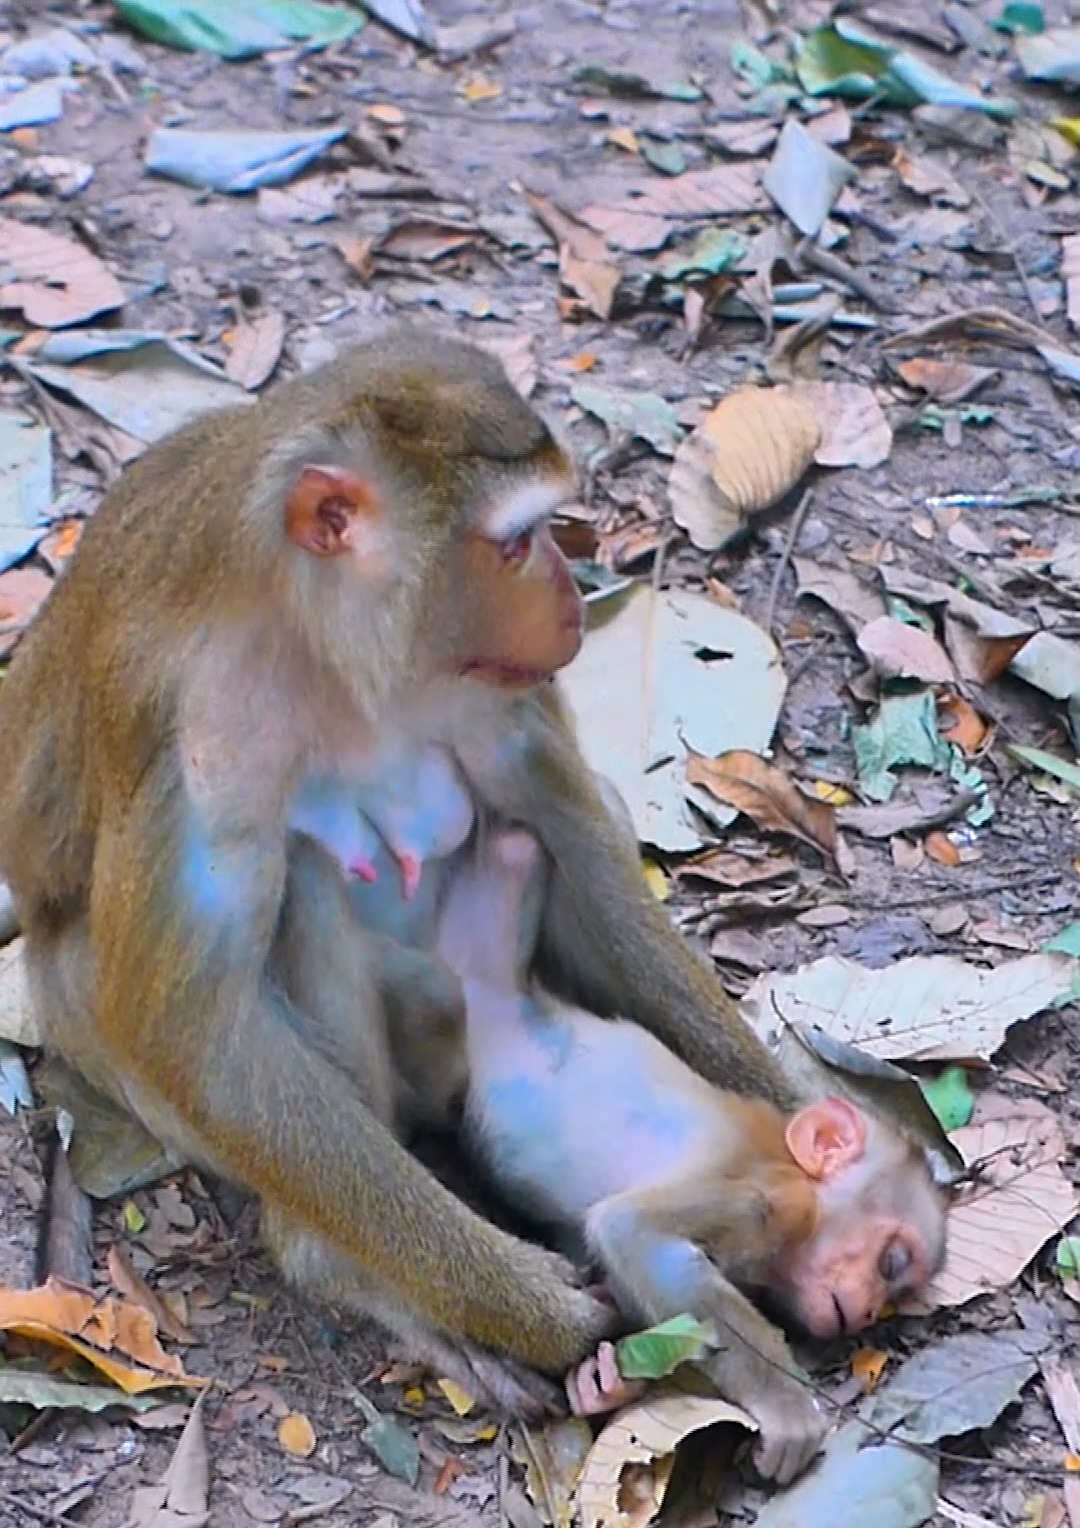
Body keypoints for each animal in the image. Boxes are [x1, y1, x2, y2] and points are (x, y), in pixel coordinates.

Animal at [0, 326, 856, 1425]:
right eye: (517, 540)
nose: (570, 598)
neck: (318, 638)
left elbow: (567, 821)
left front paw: (802, 1132)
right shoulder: (192, 727)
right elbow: (194, 1034)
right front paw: (531, 1308)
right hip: (75, 1013)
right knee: (293, 895)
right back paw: (355, 1270)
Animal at [428, 825, 948, 1484]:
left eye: (892, 1299)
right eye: (892, 1264)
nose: (865, 1314)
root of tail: (503, 992)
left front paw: (607, 1384)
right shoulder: (767, 1198)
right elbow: (632, 1230)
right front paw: (786, 1405)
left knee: (513, 851)